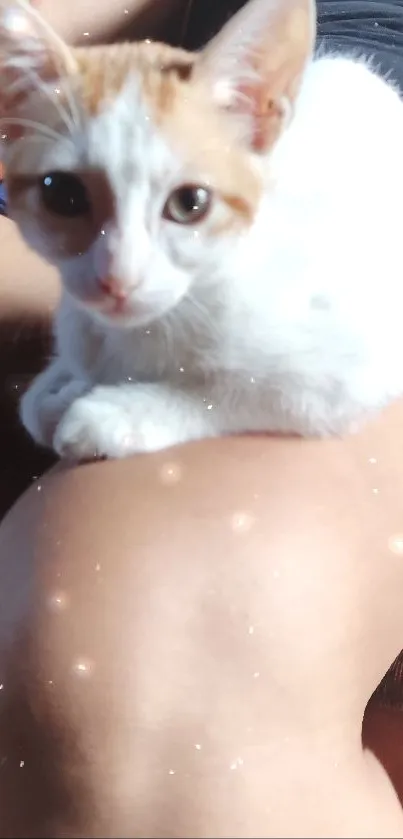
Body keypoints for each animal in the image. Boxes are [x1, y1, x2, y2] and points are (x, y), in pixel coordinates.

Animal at [0, 0, 403, 460]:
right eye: (62, 195)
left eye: (190, 203)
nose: (118, 278)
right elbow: (43, 396)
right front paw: (59, 388)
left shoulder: (350, 367)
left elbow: (240, 392)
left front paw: (115, 413)